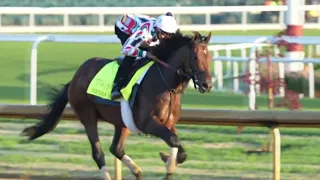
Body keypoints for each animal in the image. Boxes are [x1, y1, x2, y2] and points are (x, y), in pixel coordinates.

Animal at [21, 30, 214, 179]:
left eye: (210, 57)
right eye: (195, 56)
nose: (207, 85)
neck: (165, 84)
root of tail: (76, 76)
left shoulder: (168, 123)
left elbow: (179, 148)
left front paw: (167, 159)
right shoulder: (147, 122)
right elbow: (173, 140)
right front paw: (167, 164)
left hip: (122, 123)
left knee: (116, 149)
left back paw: (137, 171)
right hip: (87, 116)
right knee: (98, 153)